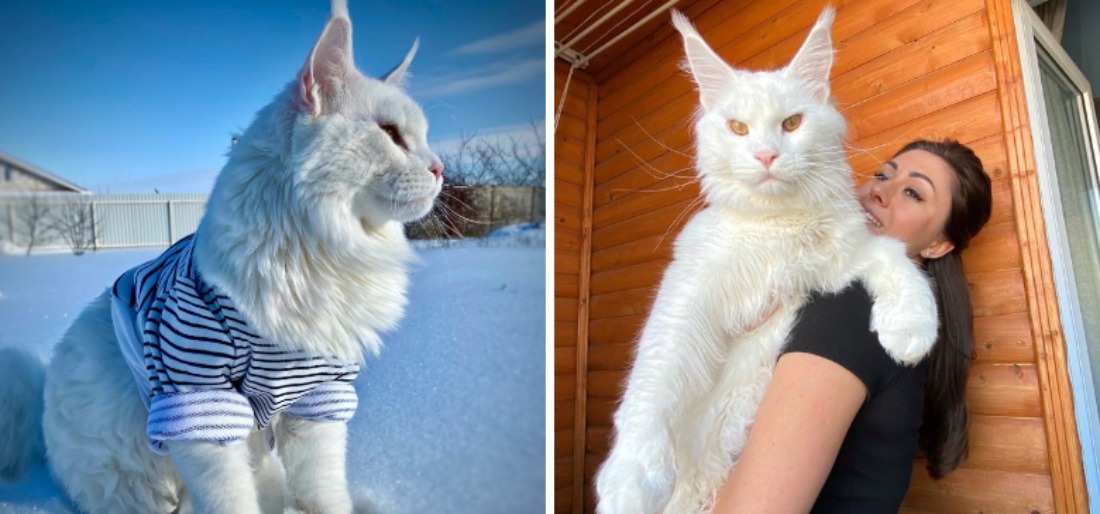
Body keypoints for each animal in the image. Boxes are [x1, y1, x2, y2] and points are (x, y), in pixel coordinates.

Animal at [0, 2, 442, 512]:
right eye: (390, 134)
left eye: (424, 137)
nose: (439, 168)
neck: (317, 255)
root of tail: (41, 426)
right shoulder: (198, 400)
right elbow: (229, 497)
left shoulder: (319, 398)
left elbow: (322, 490)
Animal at [598, 9, 941, 514]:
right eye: (739, 128)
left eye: (793, 122)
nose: (766, 155)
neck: (775, 229)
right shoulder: (688, 294)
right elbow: (653, 382)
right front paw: (631, 480)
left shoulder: (838, 258)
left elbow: (895, 258)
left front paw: (911, 328)